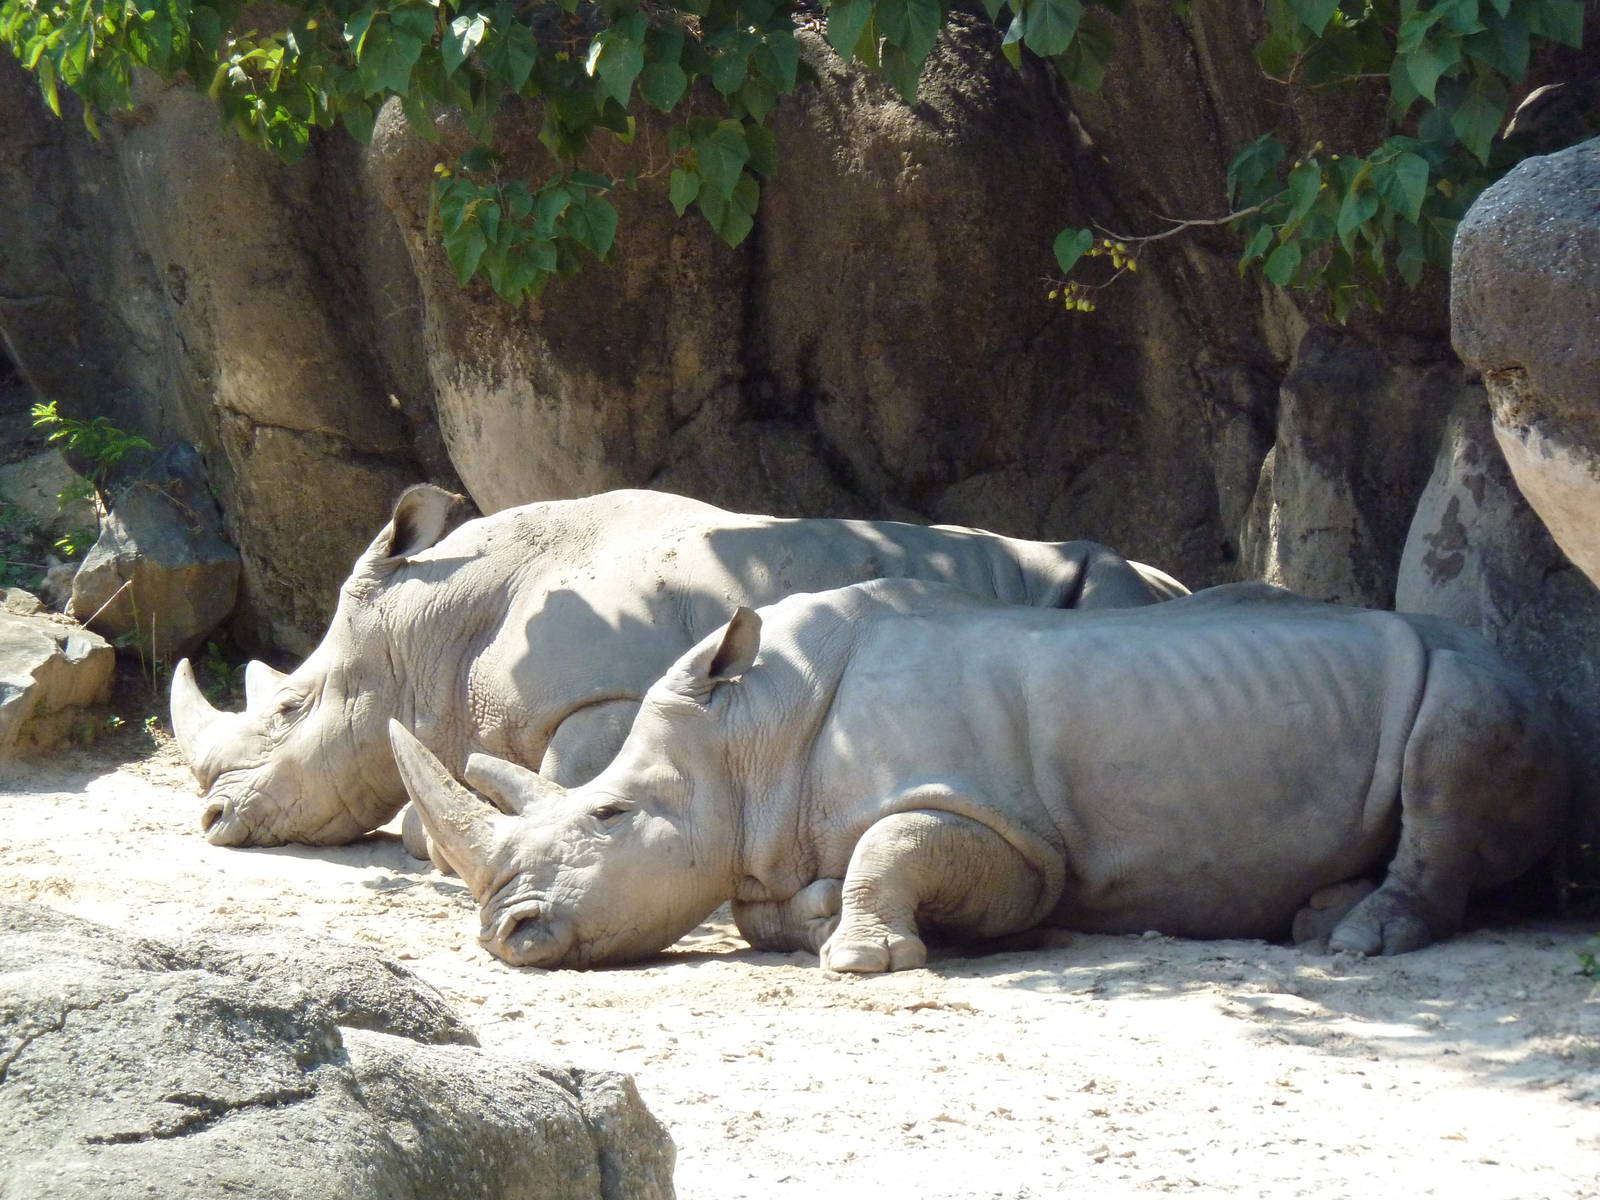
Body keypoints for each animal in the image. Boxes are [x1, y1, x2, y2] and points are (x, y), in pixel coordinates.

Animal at [171, 486, 1185, 847]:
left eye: (291, 708)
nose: (213, 822)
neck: (435, 631)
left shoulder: (603, 698)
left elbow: (560, 775)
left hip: (1114, 598)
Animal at [387, 579, 1569, 972]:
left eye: (613, 813)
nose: (507, 936)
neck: (751, 735)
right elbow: (768, 905)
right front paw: (818, 919)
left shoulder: (1012, 835)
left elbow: (896, 843)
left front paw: (861, 956)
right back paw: (1321, 915)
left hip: (1488, 677)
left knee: (1450, 741)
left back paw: (1357, 941)